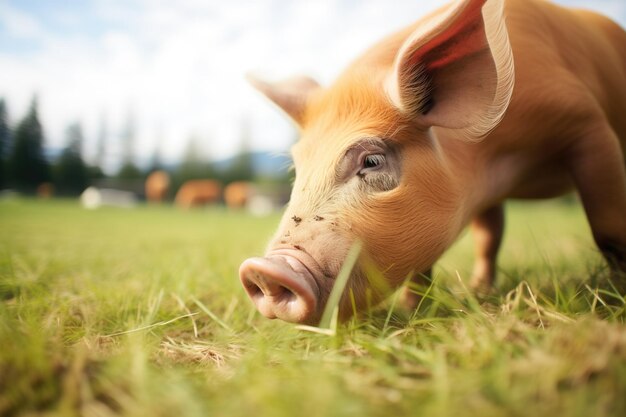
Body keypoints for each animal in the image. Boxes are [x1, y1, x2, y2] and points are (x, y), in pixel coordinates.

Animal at [239, 0, 624, 324]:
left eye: (372, 160)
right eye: (296, 169)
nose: (263, 269)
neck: (509, 169)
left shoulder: (587, 124)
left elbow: (608, 227)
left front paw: (615, 295)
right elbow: (481, 240)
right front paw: (419, 311)